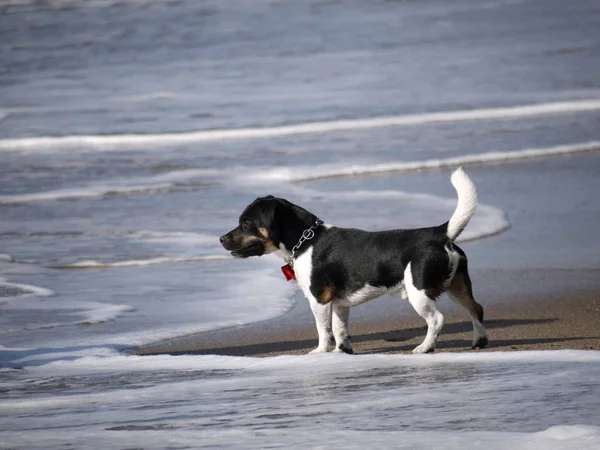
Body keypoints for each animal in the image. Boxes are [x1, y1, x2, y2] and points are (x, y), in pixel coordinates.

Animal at [220, 169, 488, 356]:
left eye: (246, 223)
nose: (221, 239)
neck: (305, 241)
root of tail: (439, 233)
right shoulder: (340, 303)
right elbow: (340, 330)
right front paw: (342, 352)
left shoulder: (319, 300)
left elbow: (323, 330)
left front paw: (320, 352)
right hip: (456, 286)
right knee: (476, 308)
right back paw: (479, 341)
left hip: (419, 292)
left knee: (437, 320)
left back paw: (425, 347)